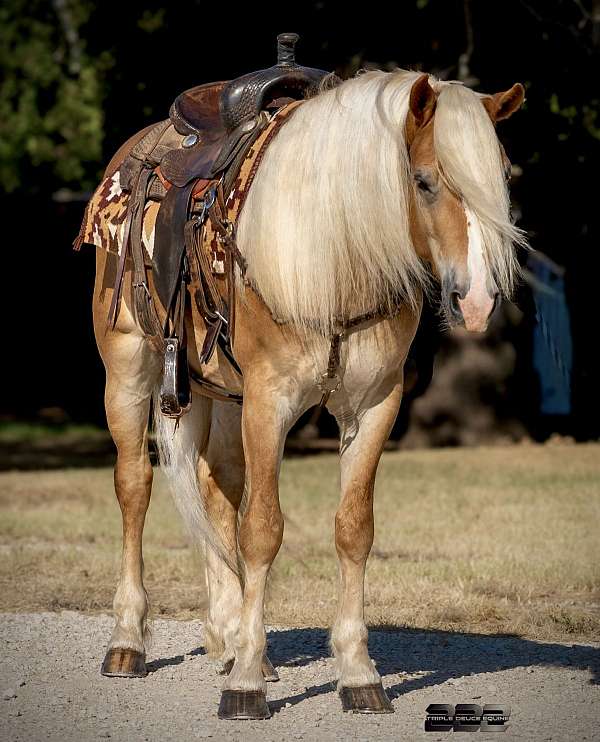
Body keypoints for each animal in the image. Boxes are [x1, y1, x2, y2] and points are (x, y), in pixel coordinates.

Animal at [91, 68, 526, 719]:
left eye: (500, 181)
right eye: (424, 180)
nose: (476, 301)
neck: (336, 257)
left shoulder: (374, 407)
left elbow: (353, 529)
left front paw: (356, 672)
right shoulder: (269, 403)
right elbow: (263, 530)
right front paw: (246, 683)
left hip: (221, 394)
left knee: (216, 486)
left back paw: (227, 634)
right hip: (129, 368)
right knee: (134, 487)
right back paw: (129, 643)